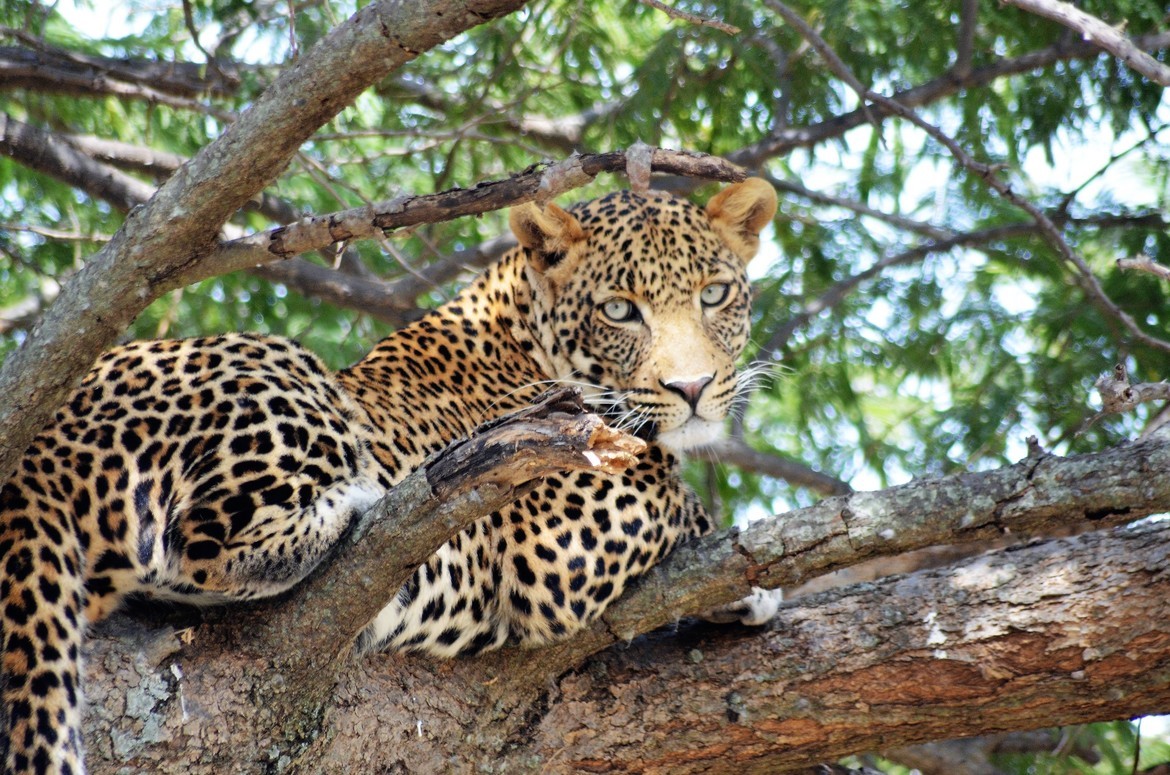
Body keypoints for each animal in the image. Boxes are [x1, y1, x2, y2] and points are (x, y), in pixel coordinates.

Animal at [0, 177, 779, 774]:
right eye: (620, 310)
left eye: (714, 295)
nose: (692, 387)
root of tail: (34, 454)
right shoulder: (561, 533)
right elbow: (677, 497)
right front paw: (752, 581)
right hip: (286, 369)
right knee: (201, 547)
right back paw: (364, 504)